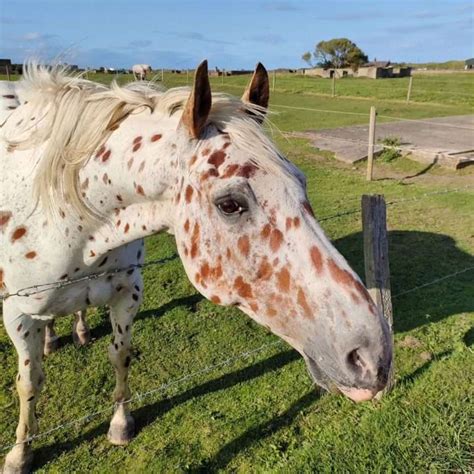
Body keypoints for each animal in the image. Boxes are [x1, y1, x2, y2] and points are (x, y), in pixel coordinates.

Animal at [0, 61, 392, 472]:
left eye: (301, 182)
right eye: (230, 204)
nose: (373, 357)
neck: (69, 214)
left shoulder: (127, 294)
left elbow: (120, 356)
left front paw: (120, 424)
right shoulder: (16, 312)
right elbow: (29, 382)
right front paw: (20, 452)